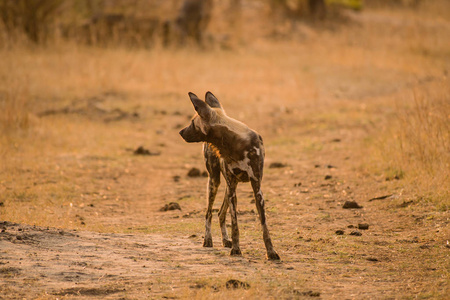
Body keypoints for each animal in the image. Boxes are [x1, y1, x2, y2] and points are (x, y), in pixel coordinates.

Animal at [178, 91, 280, 260]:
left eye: (192, 122)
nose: (180, 132)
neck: (235, 143)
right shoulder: (232, 187)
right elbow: (235, 224)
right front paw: (236, 249)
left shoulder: (256, 187)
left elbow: (264, 225)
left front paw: (271, 252)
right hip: (215, 182)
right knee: (209, 213)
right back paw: (208, 240)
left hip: (228, 186)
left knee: (220, 213)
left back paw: (226, 240)